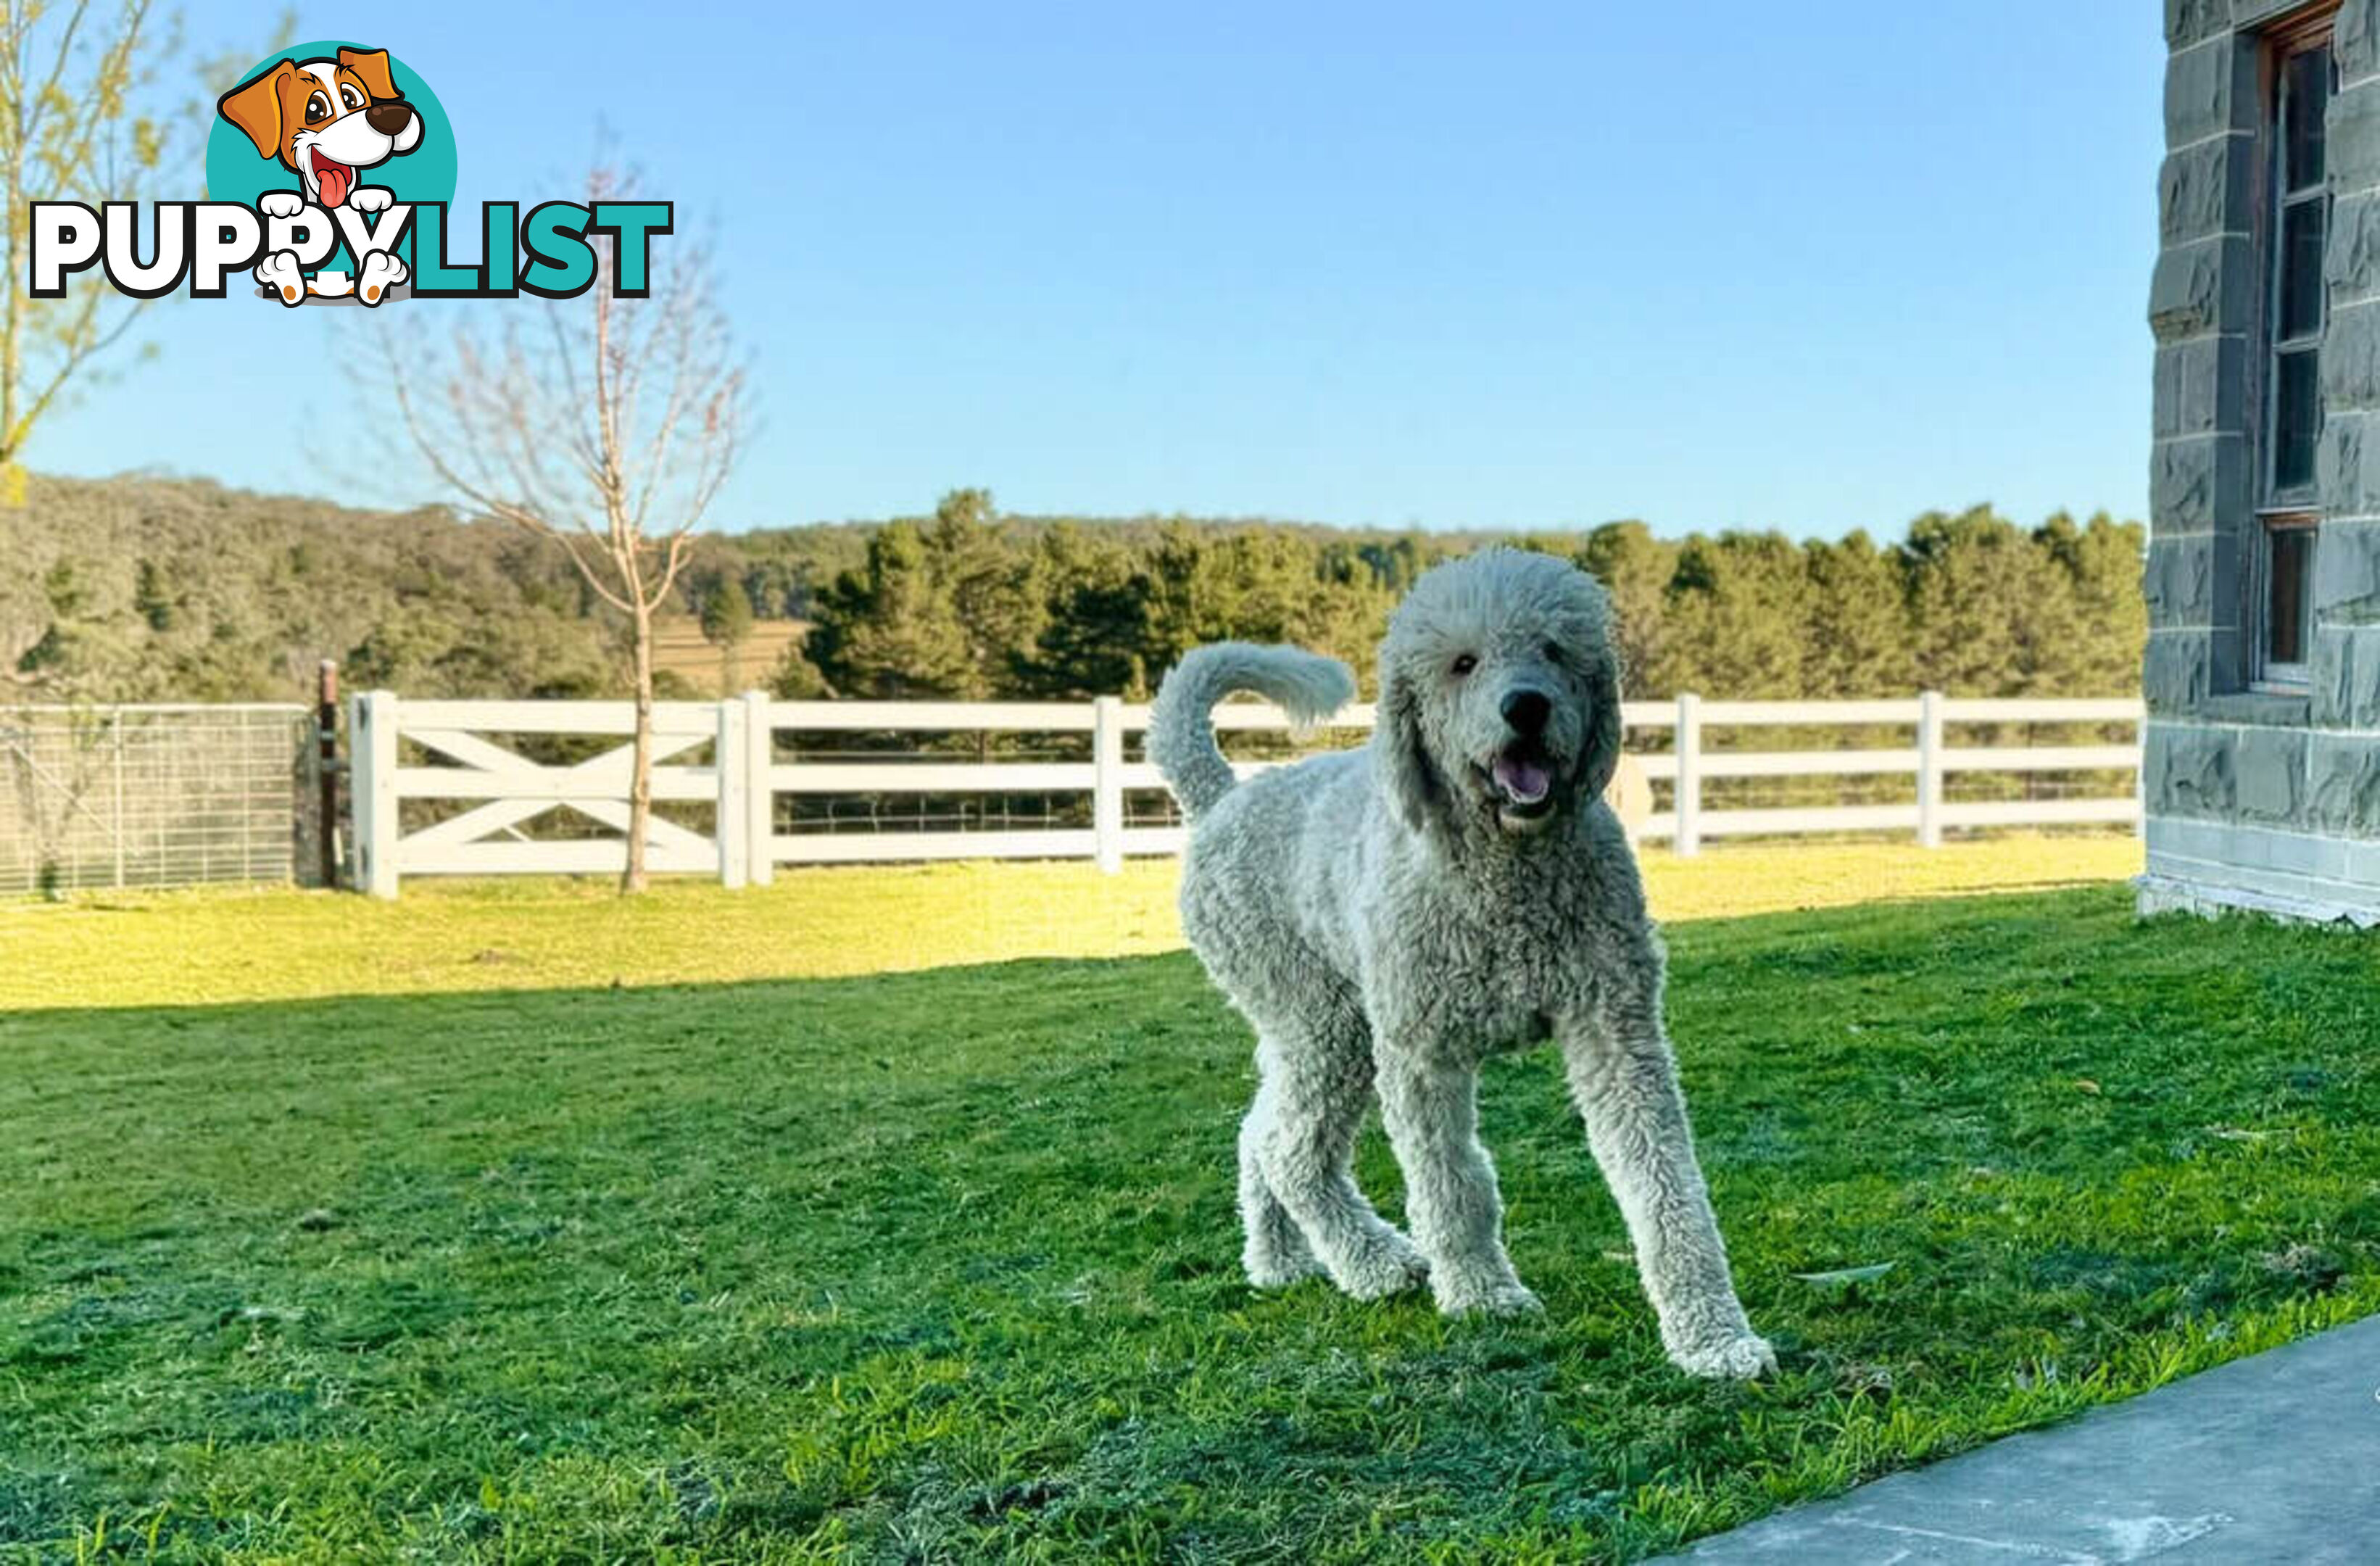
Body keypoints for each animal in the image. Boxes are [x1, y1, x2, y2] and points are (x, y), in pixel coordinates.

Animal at [1142, 550, 1780, 1380]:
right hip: (1328, 1021)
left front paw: (1714, 1338)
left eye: (1554, 651)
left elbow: (1665, 1184)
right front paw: (1482, 1294)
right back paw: (1376, 1262)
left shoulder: (1616, 1028)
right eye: (1462, 663)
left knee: (1260, 1132)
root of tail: (1221, 795)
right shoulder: (1421, 1052)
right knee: (1290, 1149)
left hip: (1301, 1027)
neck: (1508, 875)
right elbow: (1452, 1184)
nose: (1526, 708)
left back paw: (1282, 1261)